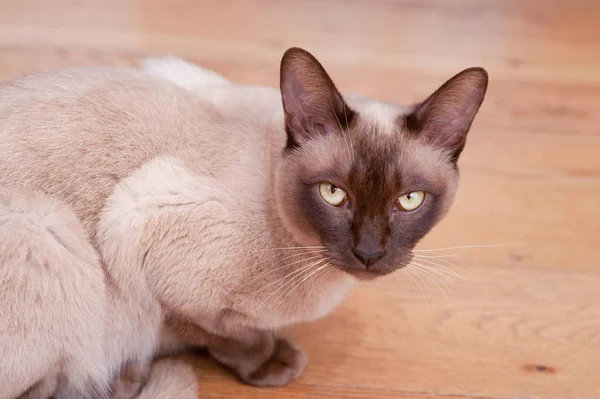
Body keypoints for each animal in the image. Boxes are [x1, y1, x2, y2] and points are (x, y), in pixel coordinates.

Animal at [0, 48, 488, 398]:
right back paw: (129, 377)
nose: (369, 253)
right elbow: (223, 332)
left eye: (409, 200)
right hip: (44, 231)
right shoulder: (141, 229)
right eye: (333, 194)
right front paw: (270, 361)